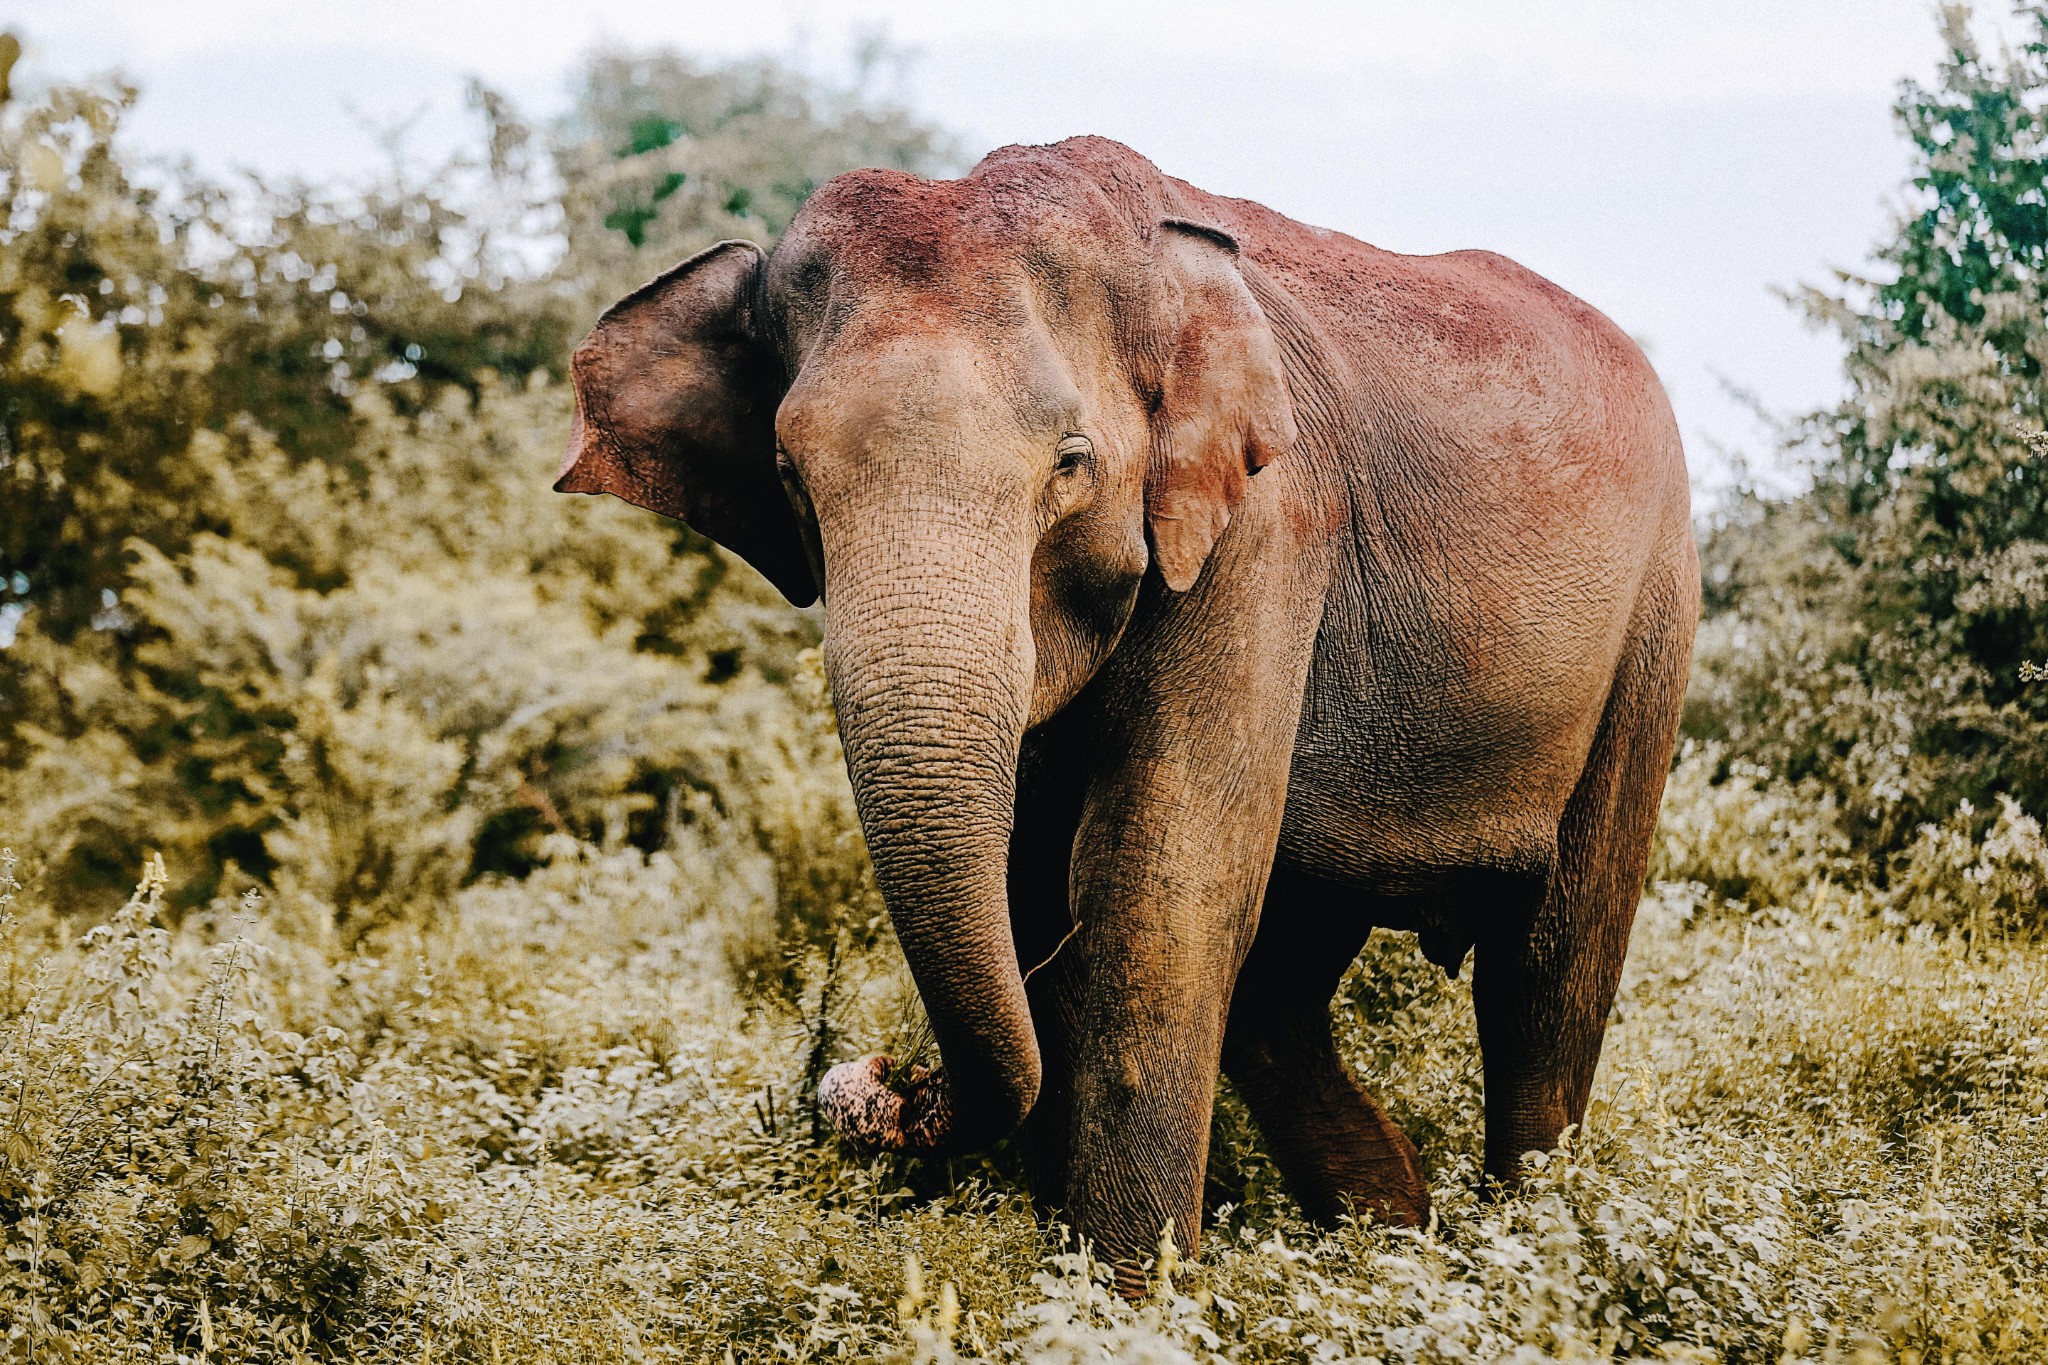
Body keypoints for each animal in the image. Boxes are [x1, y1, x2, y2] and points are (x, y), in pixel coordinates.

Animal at [557, 136, 1695, 1293]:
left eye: (1070, 462)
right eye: (790, 476)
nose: (873, 1079)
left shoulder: (1266, 527)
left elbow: (1156, 883)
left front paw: (1123, 1304)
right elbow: (1035, 895)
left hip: (1653, 619)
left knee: (1548, 966)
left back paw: (1530, 1256)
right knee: (1283, 990)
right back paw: (1392, 1250)